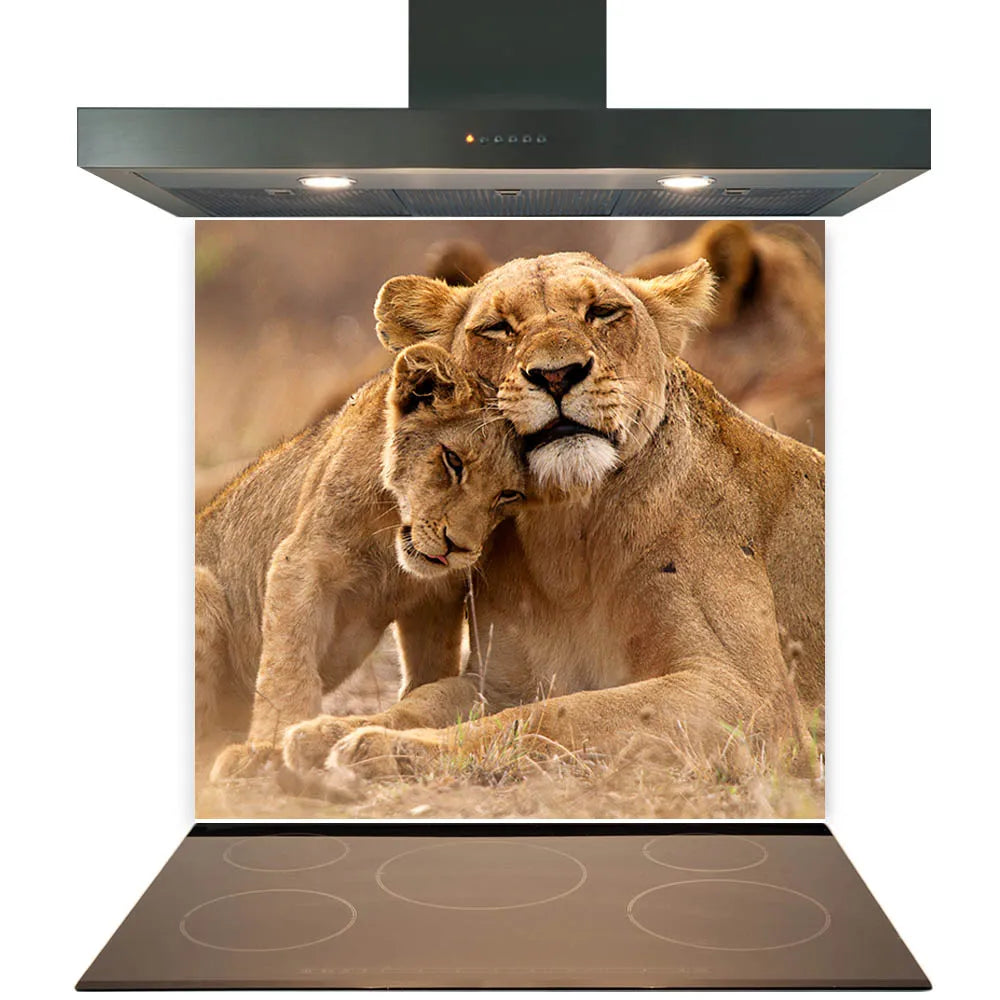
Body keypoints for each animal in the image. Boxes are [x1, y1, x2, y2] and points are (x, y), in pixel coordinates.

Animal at [197, 343, 526, 781]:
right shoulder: (299, 561)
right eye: (453, 461)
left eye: (509, 494)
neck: (390, 530)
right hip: (202, 587)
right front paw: (267, 747)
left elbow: (432, 667)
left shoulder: (437, 595)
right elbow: (288, 667)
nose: (456, 547)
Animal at [281, 252, 825, 785]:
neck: (567, 536)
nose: (557, 374)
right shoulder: (501, 681)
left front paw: (387, 749)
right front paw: (328, 731)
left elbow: (558, 714)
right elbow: (425, 698)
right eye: (498, 327)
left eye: (603, 312)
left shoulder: (751, 698)